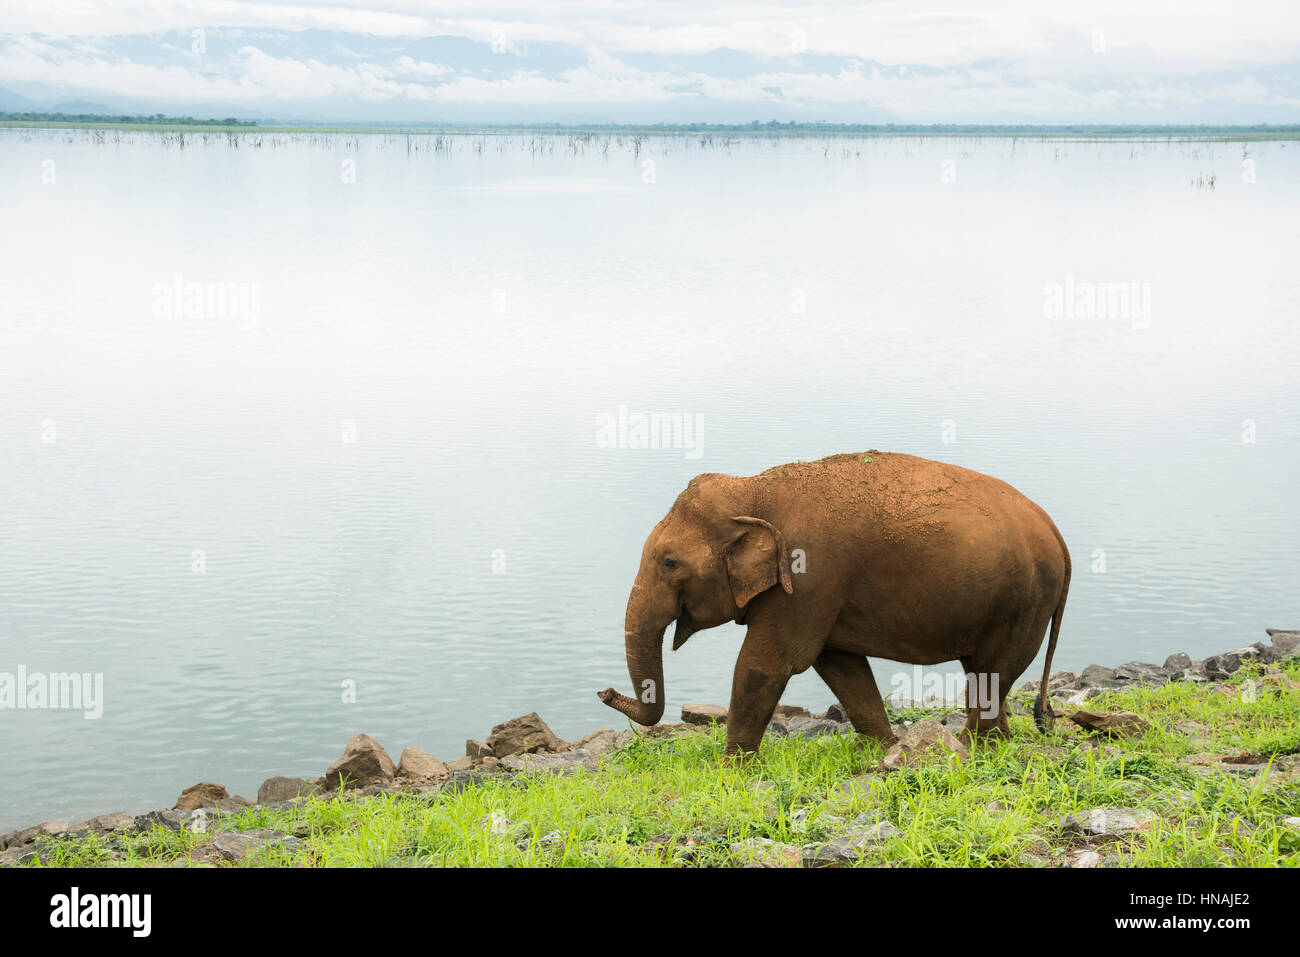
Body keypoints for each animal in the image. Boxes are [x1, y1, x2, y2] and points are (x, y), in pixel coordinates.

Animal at [596, 451, 1071, 755]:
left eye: (670, 563)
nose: (604, 691)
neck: (753, 488)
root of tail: (1058, 534)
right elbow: (840, 665)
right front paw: (886, 750)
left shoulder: (809, 574)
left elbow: (767, 663)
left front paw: (732, 769)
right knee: (984, 673)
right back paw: (994, 744)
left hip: (1024, 601)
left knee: (992, 672)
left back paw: (972, 748)